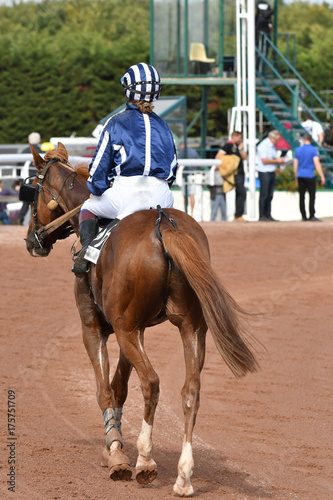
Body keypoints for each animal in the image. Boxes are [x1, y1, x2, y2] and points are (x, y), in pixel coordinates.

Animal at [23, 144, 258, 496]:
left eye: (32, 192)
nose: (31, 240)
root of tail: (164, 224)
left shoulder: (97, 329)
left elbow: (105, 389)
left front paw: (116, 454)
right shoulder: (137, 331)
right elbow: (119, 386)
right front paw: (114, 445)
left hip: (128, 329)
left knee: (152, 382)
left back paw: (146, 460)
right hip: (189, 328)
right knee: (191, 390)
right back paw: (183, 476)